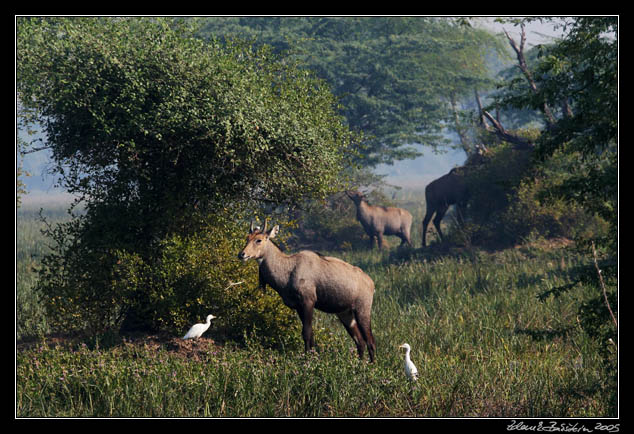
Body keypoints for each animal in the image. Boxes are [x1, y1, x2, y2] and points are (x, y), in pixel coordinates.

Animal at [237, 222, 376, 362]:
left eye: (259, 240)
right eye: (247, 237)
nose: (242, 254)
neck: (288, 270)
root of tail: (371, 283)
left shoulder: (308, 301)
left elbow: (307, 332)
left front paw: (309, 360)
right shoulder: (298, 306)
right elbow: (309, 333)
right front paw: (311, 356)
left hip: (362, 310)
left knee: (370, 340)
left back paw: (372, 364)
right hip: (345, 314)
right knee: (360, 341)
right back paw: (359, 363)